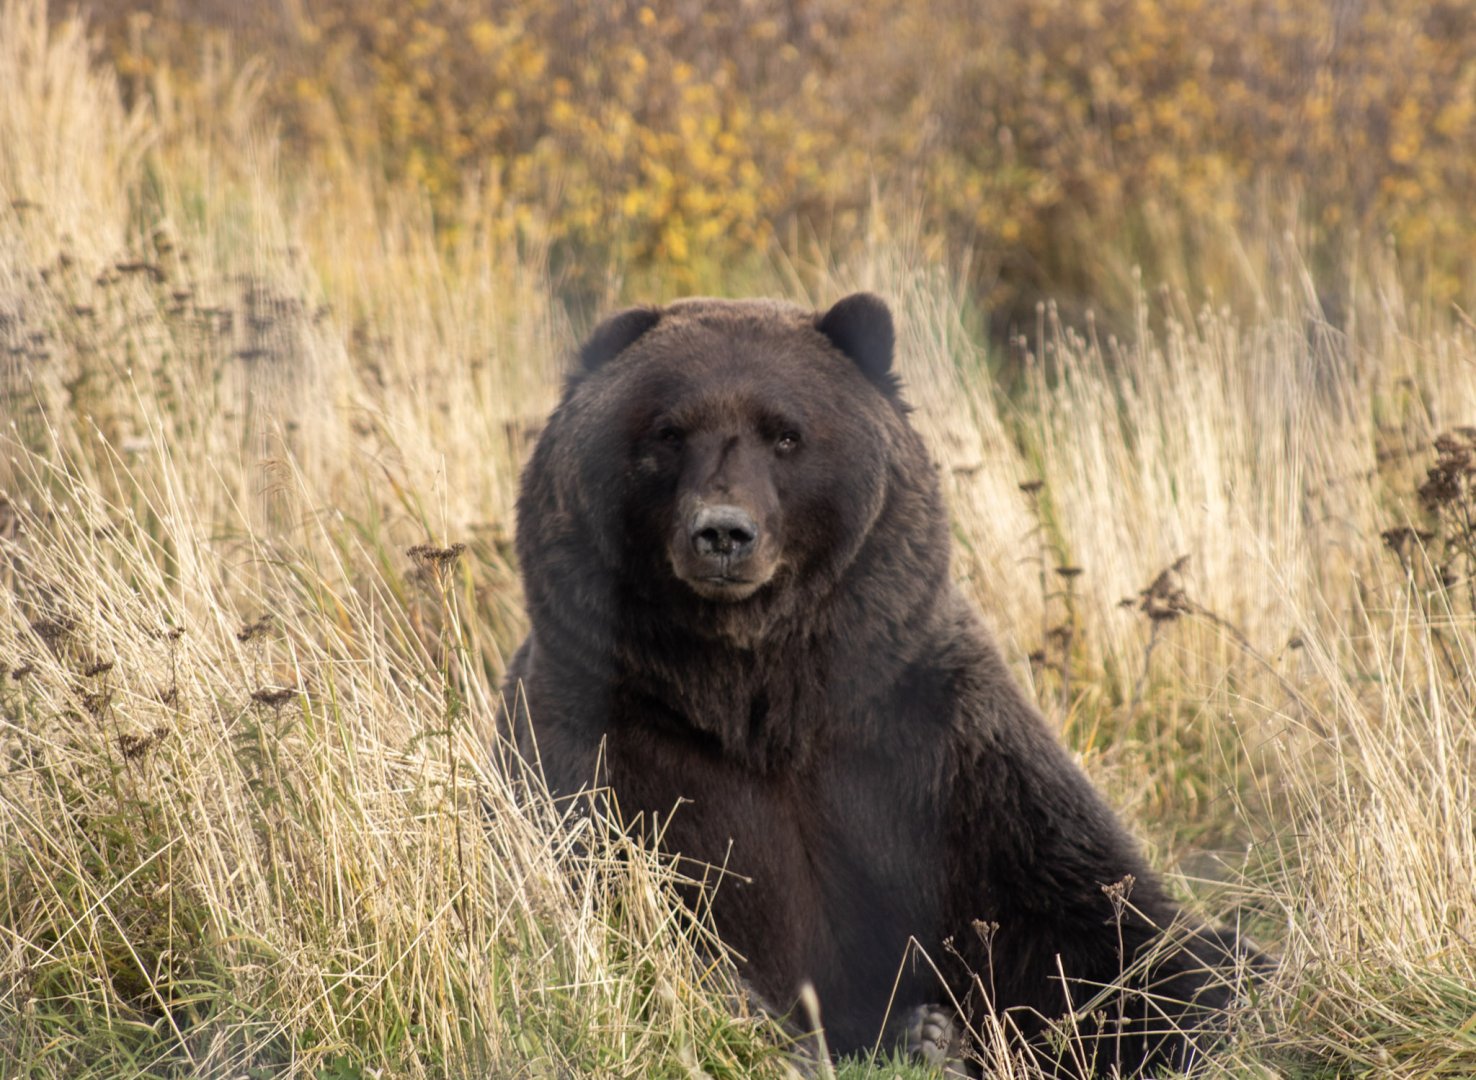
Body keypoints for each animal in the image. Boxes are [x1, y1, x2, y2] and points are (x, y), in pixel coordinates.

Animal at [503, 293, 1255, 1076]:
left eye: (787, 434)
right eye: (668, 432)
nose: (723, 533)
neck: (756, 692)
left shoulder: (930, 732)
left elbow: (1094, 913)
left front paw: (1186, 1002)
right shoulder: (607, 739)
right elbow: (633, 912)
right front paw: (787, 1040)